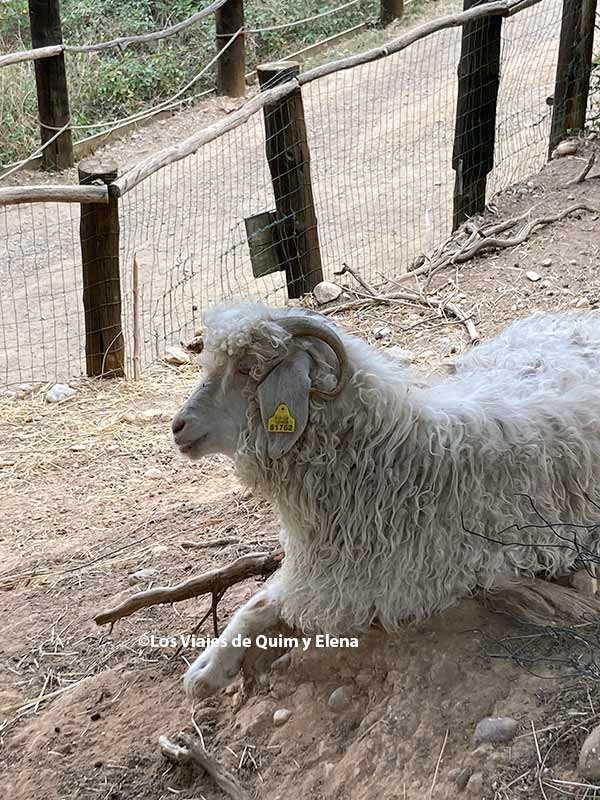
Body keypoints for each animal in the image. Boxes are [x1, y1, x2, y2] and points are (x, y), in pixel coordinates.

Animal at [171, 303, 600, 698]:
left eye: (247, 368)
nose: (177, 426)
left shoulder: (366, 585)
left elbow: (269, 604)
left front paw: (208, 670)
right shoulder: (319, 570)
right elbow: (257, 603)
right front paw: (209, 666)